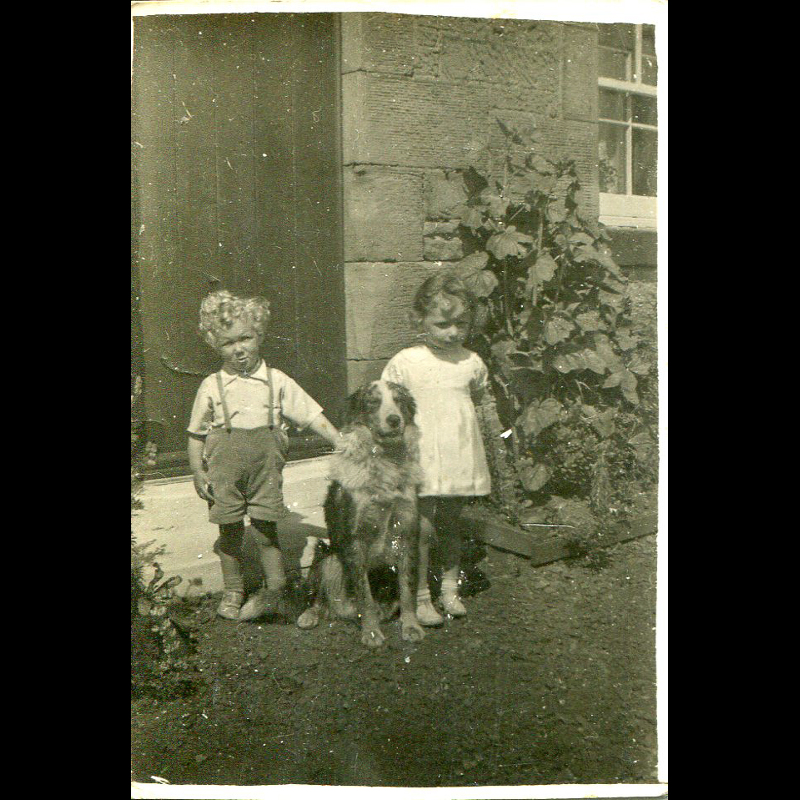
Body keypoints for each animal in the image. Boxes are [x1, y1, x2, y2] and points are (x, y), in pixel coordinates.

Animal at [297, 380, 426, 648]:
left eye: (398, 400)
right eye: (373, 402)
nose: (394, 420)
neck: (386, 463)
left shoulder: (407, 532)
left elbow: (407, 588)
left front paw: (411, 625)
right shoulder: (354, 539)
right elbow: (364, 593)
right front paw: (372, 632)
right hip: (325, 554)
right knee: (316, 597)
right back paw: (309, 615)